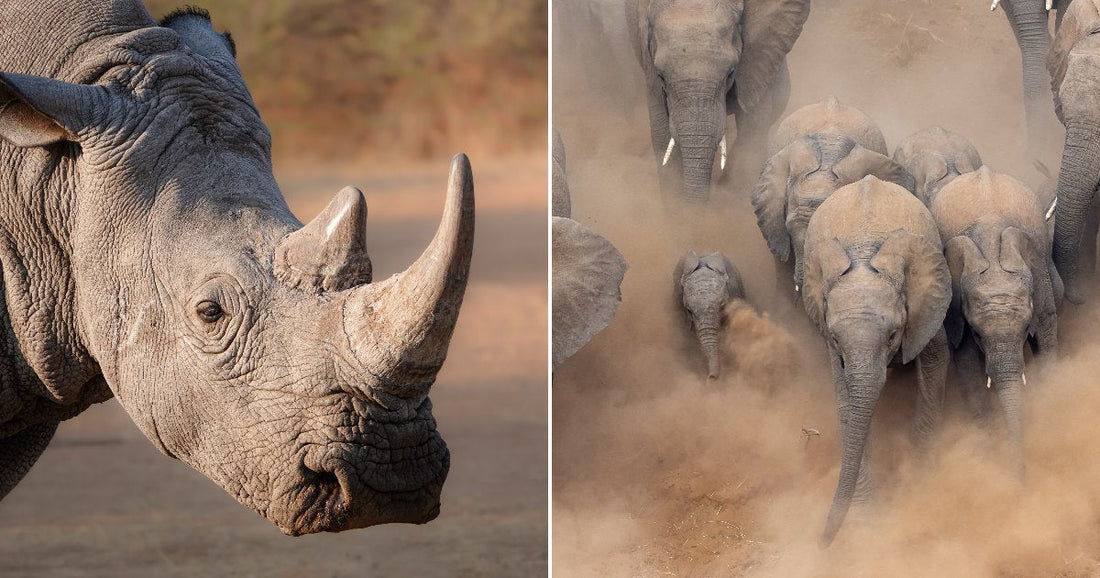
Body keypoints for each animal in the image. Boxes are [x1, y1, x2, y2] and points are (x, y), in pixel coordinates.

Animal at [802, 176, 951, 546]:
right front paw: (864, 524)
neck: (863, 252)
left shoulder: (926, 305)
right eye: (836, 339)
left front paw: (921, 480)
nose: (822, 543)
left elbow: (935, 364)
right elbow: (846, 402)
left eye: (893, 335)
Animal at [930, 166, 1059, 477]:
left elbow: (1047, 337)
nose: (1021, 479)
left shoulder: (1040, 277)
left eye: (1025, 331)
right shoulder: (956, 310)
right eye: (977, 334)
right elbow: (966, 364)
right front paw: (989, 452)